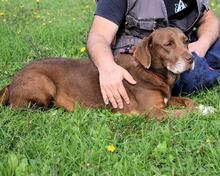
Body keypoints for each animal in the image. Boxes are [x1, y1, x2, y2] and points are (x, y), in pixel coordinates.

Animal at [0, 27, 196, 120]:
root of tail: (10, 84)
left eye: (186, 41)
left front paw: (196, 105)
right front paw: (203, 110)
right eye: (168, 44)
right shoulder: (154, 113)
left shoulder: (165, 101)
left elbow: (188, 101)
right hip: (42, 81)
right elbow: (185, 113)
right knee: (26, 110)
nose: (191, 59)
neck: (152, 73)